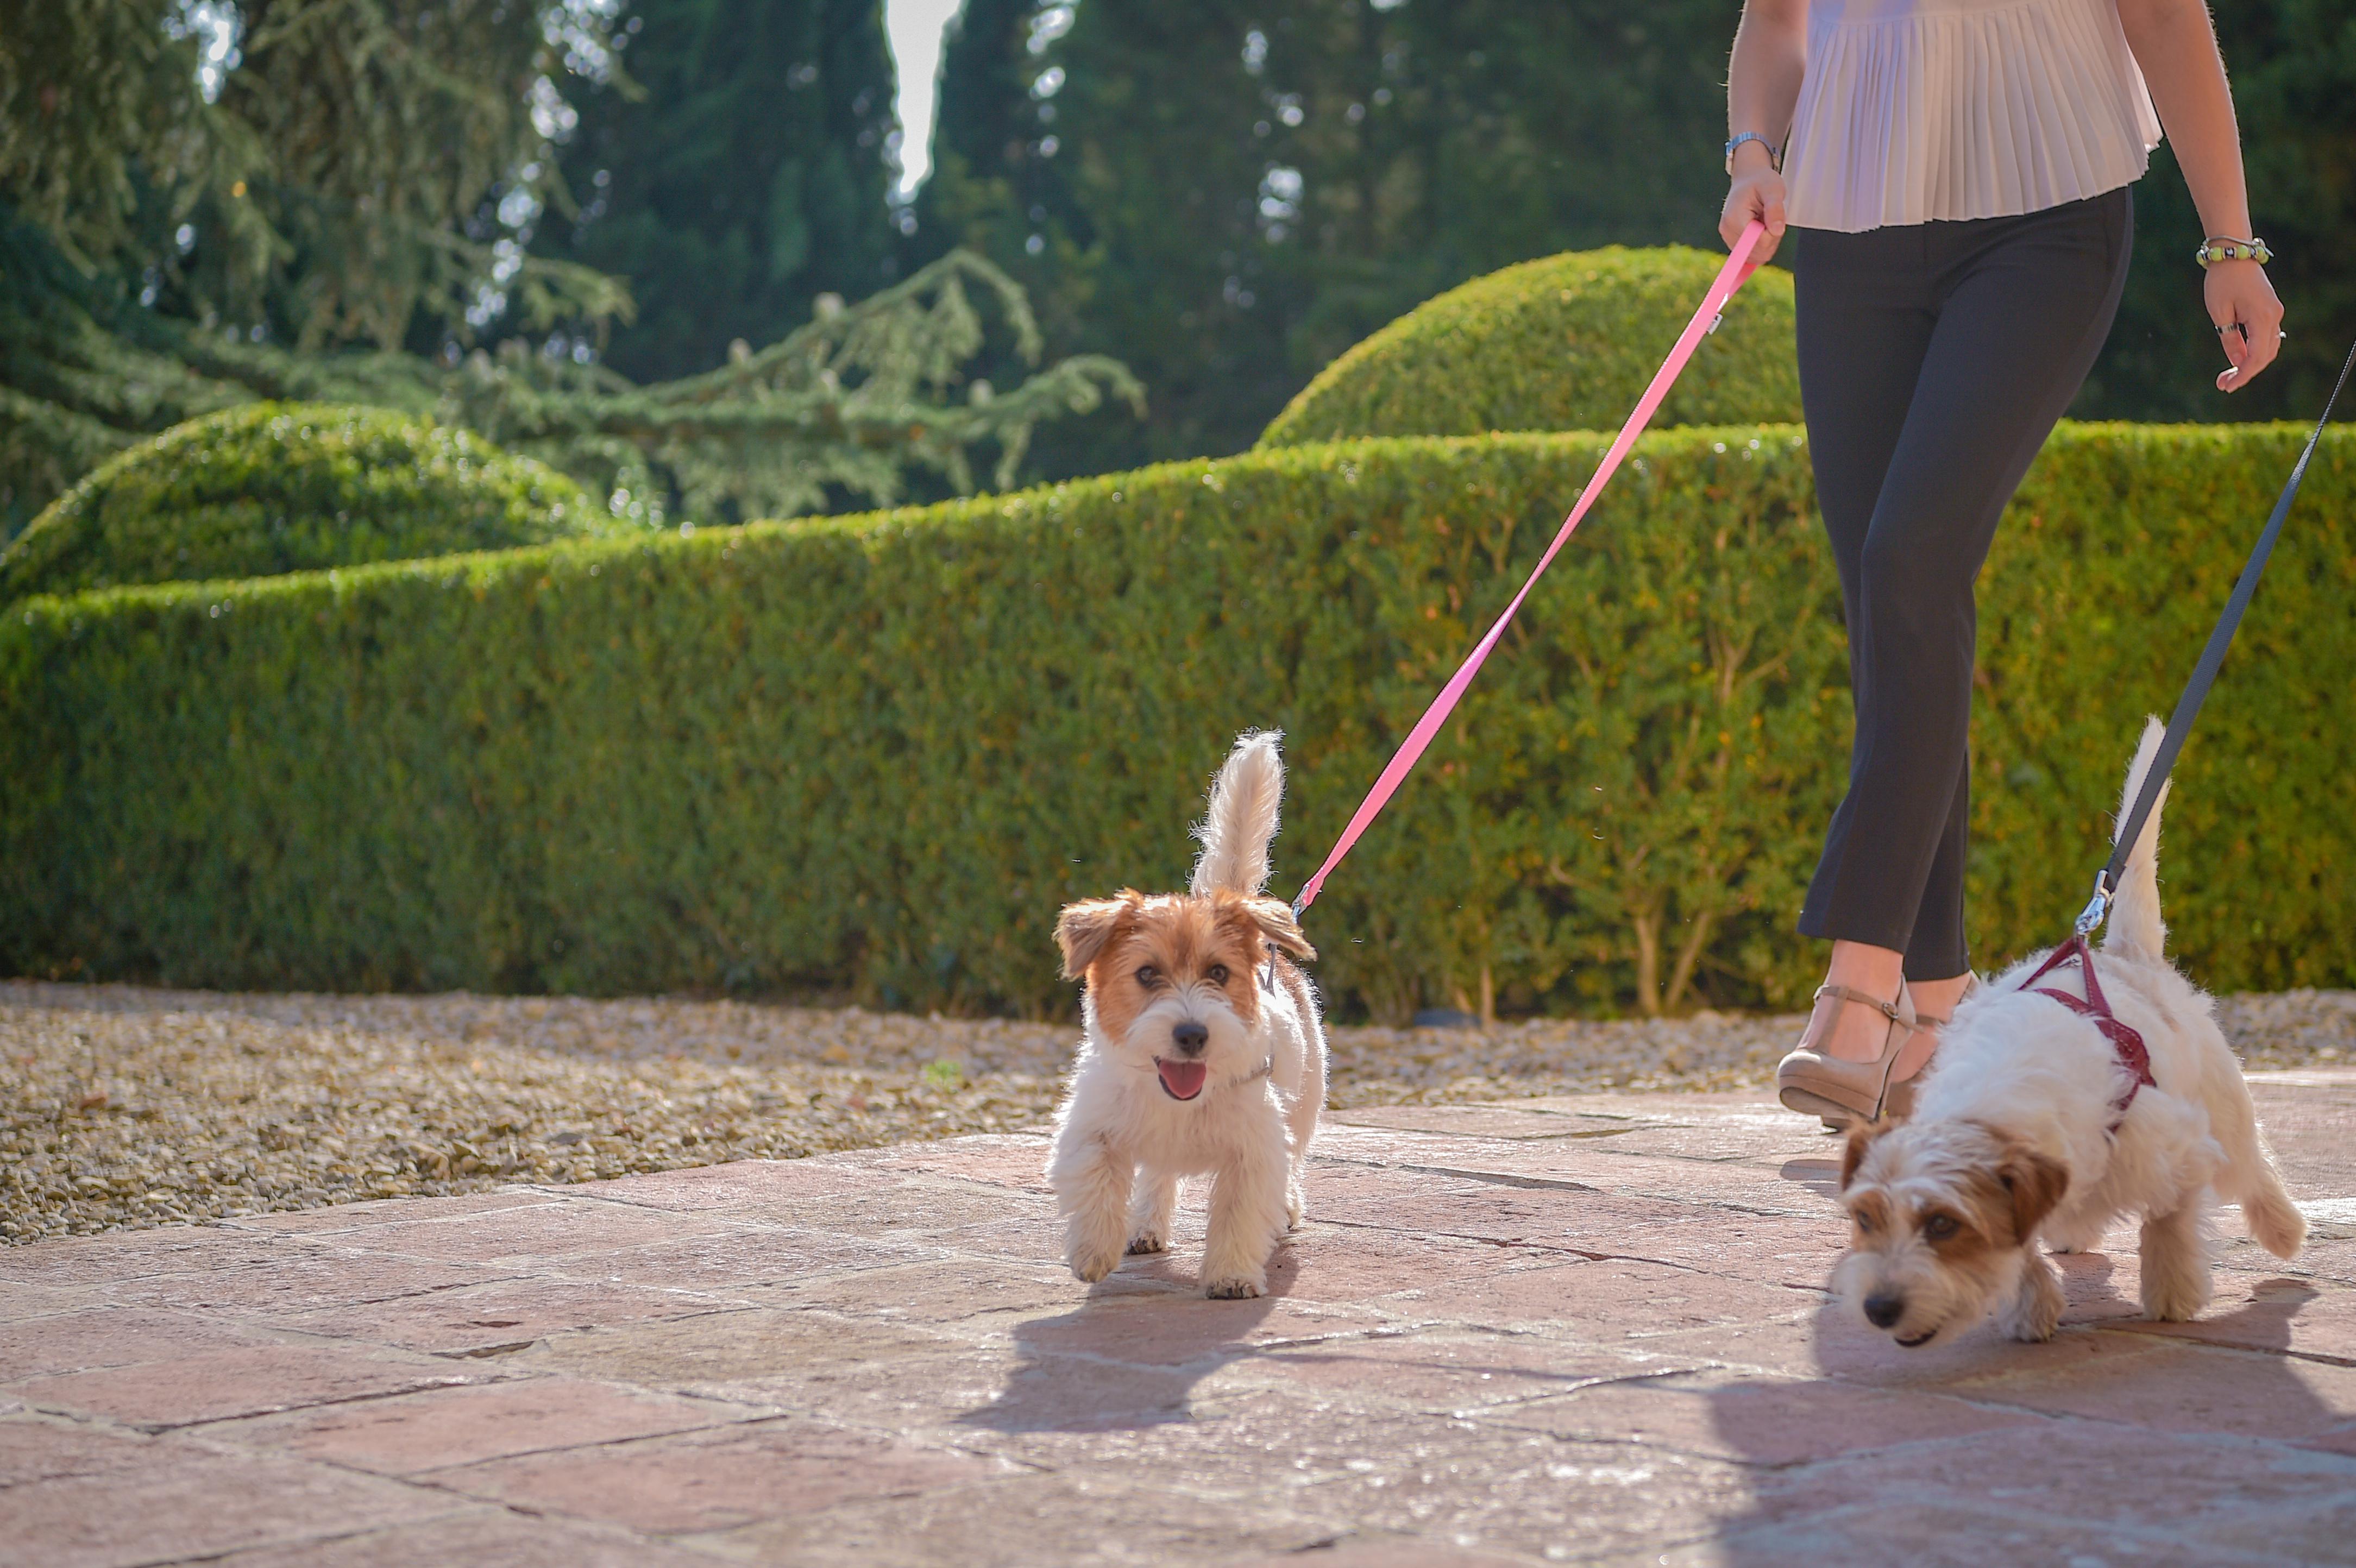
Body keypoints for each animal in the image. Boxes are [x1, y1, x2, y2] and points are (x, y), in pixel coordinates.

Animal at [1051, 734, 1329, 1290]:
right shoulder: (1092, 1126)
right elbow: (1096, 1180)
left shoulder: (1254, 1148)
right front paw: (1094, 1249)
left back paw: (1286, 1208)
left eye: (1218, 973)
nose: (1192, 1033)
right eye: (1146, 974)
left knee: (1290, 1164)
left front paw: (1232, 1274)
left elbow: (1241, 1210)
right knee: (1157, 1179)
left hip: (1304, 1107)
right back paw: (1144, 1228)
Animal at [1828, 720, 2309, 1346]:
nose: (1878, 1308)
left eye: (1942, 1224)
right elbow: (2024, 1250)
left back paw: (2283, 1229)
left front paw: (2171, 1291)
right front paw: (2030, 1304)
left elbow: (2169, 1221)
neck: (1992, 1103)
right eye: (1865, 1218)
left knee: (2253, 1169)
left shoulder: (2179, 1147)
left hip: (2225, 1109)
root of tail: (2125, 954)